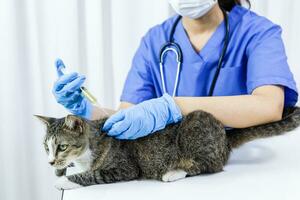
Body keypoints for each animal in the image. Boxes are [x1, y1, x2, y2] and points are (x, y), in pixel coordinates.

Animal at [35, 106, 300, 189]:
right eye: (46, 147)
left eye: (62, 146)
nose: (50, 161)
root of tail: (224, 137)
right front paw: (61, 171)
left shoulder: (124, 168)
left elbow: (92, 174)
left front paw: (65, 180)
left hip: (194, 128)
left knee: (208, 166)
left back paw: (174, 172)